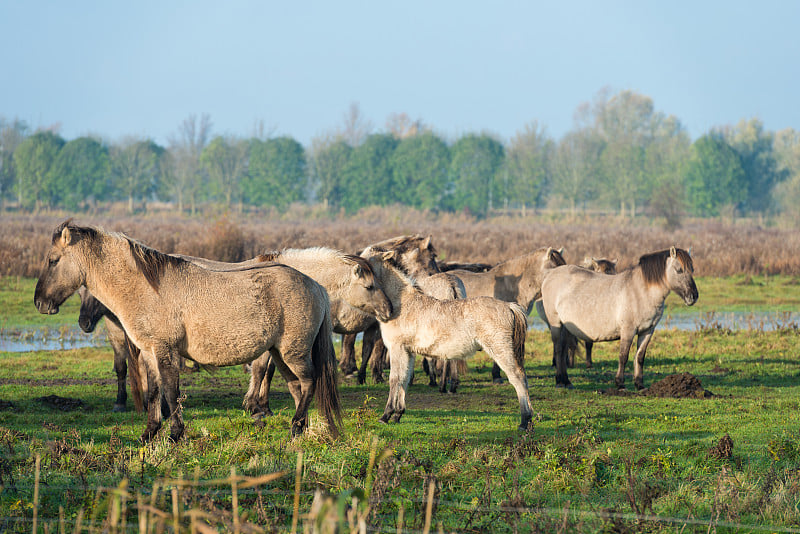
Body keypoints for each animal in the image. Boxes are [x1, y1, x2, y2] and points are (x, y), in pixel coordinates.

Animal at [34, 222, 342, 444]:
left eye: (53, 260)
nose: (40, 303)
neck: (146, 288)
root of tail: (315, 286)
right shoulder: (149, 353)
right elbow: (153, 393)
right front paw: (149, 435)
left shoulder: (165, 351)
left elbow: (171, 393)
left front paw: (175, 435)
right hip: (280, 354)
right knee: (297, 387)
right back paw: (300, 429)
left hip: (293, 352)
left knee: (309, 382)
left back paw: (296, 427)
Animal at [362, 250, 532, 432]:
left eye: (368, 260)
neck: (403, 304)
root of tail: (509, 306)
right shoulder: (408, 352)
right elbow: (404, 378)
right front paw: (397, 414)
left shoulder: (397, 349)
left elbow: (395, 379)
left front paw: (385, 416)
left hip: (501, 350)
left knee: (517, 378)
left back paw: (524, 421)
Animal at [540, 246, 696, 390]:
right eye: (679, 270)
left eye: (692, 269)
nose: (693, 296)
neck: (640, 291)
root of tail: (549, 275)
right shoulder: (628, 330)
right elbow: (623, 356)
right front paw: (620, 383)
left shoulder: (647, 331)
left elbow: (640, 357)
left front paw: (639, 385)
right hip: (556, 323)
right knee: (558, 348)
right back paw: (559, 381)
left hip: (566, 327)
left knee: (563, 349)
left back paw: (566, 381)